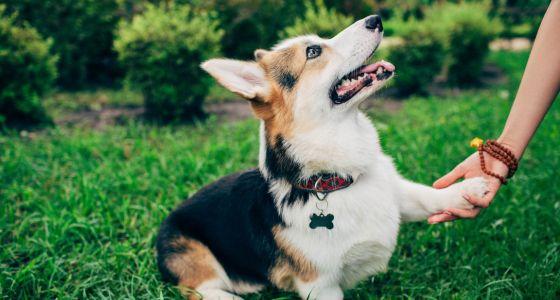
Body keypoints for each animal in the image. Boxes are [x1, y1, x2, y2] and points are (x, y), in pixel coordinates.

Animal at [156, 15, 486, 298]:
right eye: (313, 51)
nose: (376, 19)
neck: (338, 179)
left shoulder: (395, 192)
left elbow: (427, 195)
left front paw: (471, 188)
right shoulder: (321, 285)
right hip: (194, 253)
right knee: (200, 289)